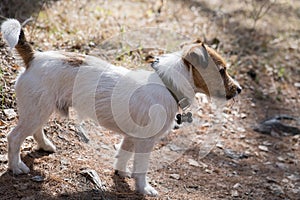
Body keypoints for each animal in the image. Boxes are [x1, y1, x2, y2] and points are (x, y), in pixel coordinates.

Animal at [0, 19, 241, 197]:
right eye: (221, 71)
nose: (239, 89)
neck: (168, 84)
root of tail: (34, 57)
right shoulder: (146, 141)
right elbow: (141, 168)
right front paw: (143, 188)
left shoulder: (132, 136)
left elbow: (123, 154)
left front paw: (121, 173)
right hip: (37, 111)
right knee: (14, 137)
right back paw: (16, 166)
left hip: (40, 109)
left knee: (35, 130)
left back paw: (45, 145)